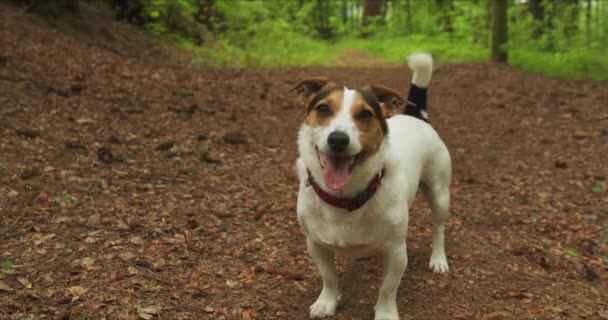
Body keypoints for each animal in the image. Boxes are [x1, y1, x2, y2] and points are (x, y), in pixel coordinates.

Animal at [292, 53, 454, 318]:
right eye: (323, 108)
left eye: (365, 114)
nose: (338, 140)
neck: (347, 198)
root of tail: (415, 115)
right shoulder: (315, 244)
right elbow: (329, 277)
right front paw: (327, 301)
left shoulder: (396, 252)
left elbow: (387, 288)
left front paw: (386, 313)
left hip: (440, 193)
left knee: (439, 227)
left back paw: (438, 258)